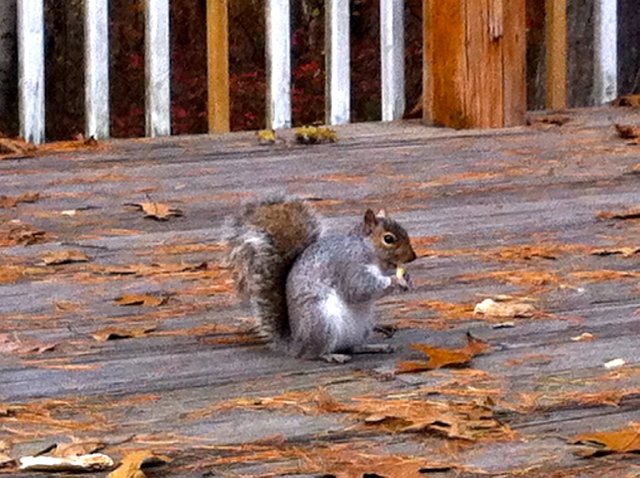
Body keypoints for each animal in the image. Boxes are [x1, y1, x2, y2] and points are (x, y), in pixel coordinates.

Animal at [227, 196, 417, 362]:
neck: (366, 250)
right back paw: (331, 356)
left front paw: (406, 278)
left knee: (352, 347)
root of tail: (297, 344)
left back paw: (373, 347)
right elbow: (359, 289)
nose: (413, 257)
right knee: (315, 353)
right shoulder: (347, 267)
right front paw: (394, 281)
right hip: (321, 322)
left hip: (363, 324)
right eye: (388, 239)